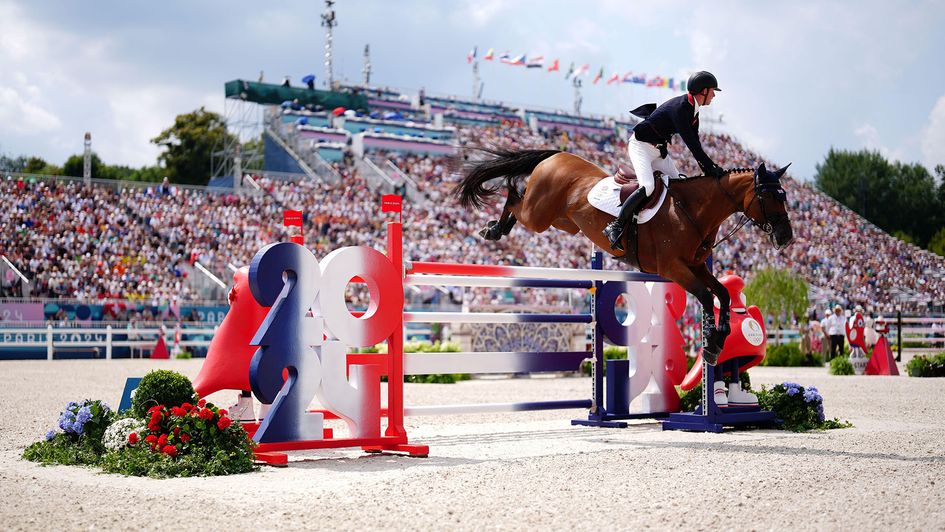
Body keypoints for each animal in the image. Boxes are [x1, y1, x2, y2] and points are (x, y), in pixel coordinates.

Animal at [454, 150, 792, 366]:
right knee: (514, 196)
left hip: (563, 222)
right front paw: (710, 345)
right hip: (539, 215)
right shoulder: (674, 268)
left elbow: (721, 293)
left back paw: (497, 227)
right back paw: (493, 229)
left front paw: (719, 338)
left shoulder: (696, 266)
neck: (691, 210)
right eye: (769, 196)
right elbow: (707, 297)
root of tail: (555, 156)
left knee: (519, 200)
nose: (786, 237)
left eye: (785, 195)